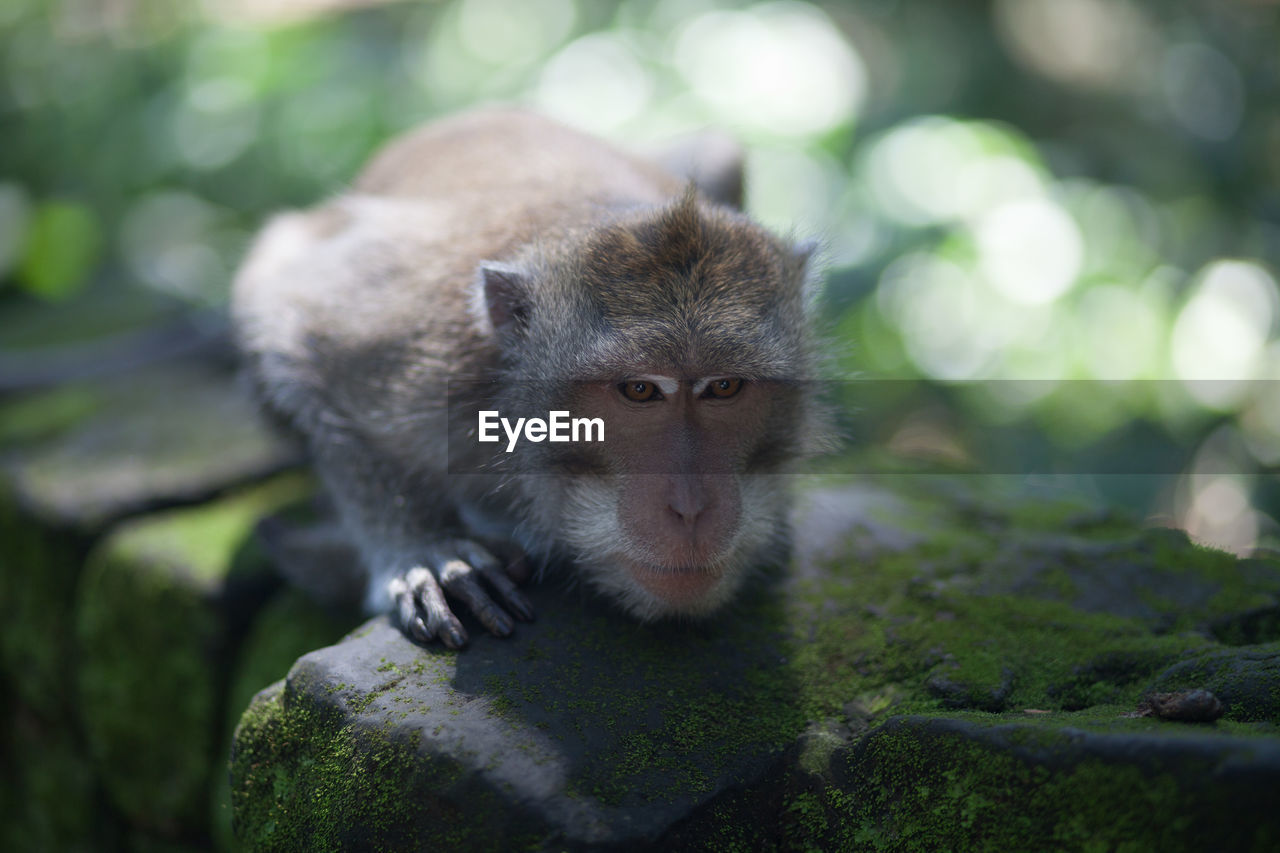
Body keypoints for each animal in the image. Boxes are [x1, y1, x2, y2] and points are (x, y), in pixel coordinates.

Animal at [234, 109, 824, 648]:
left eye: (724, 387)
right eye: (639, 390)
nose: (690, 509)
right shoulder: (418, 349)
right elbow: (298, 325)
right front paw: (427, 550)